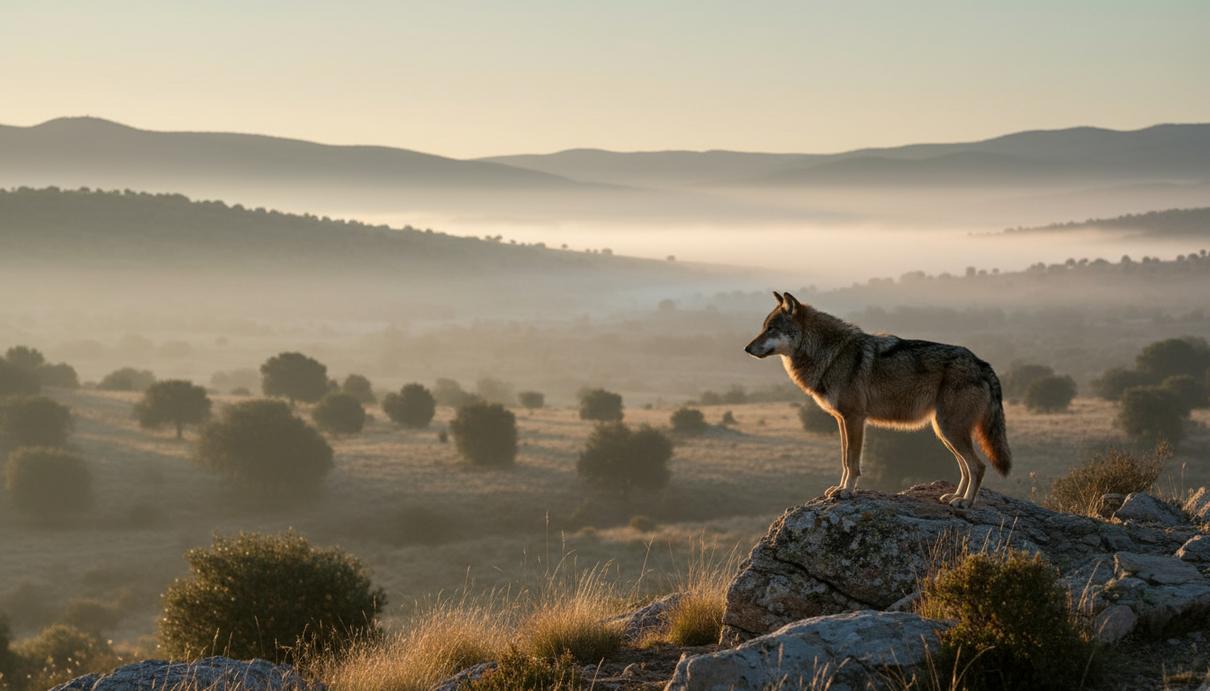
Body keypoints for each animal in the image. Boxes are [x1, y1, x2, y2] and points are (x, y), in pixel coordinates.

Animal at [744, 292, 1011, 508]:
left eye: (771, 329)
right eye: (764, 327)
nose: (747, 349)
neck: (831, 354)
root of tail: (982, 363)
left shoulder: (854, 419)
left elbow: (852, 461)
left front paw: (846, 492)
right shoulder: (842, 420)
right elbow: (845, 460)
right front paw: (839, 488)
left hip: (950, 430)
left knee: (978, 466)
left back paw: (965, 503)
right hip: (944, 431)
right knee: (965, 468)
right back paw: (955, 497)